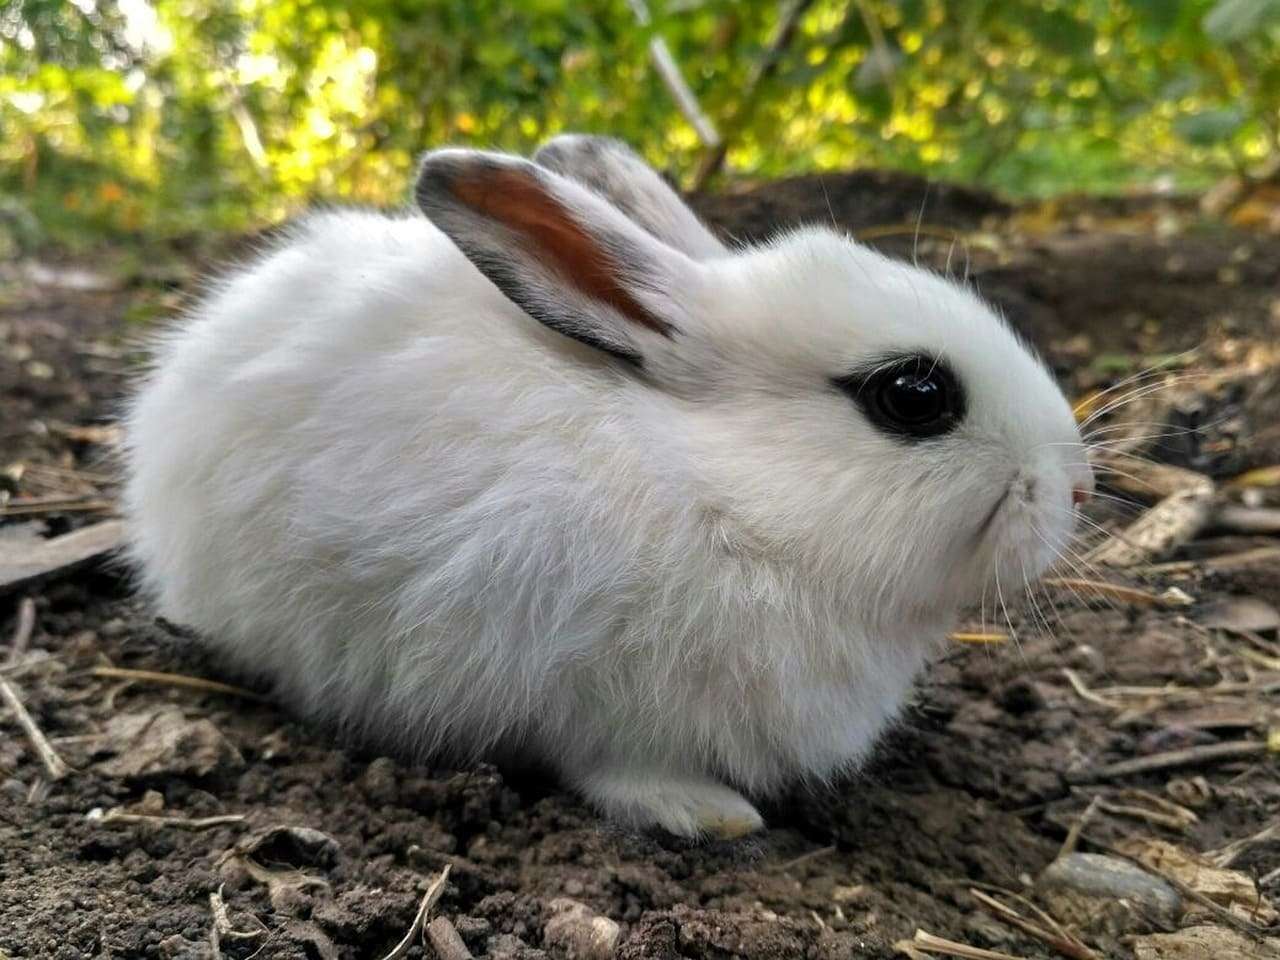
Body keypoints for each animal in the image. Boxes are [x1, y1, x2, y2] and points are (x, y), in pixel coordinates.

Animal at [127, 138, 1090, 839]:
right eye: (914, 396)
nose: (1076, 487)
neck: (726, 499)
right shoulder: (588, 699)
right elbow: (620, 770)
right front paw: (712, 816)